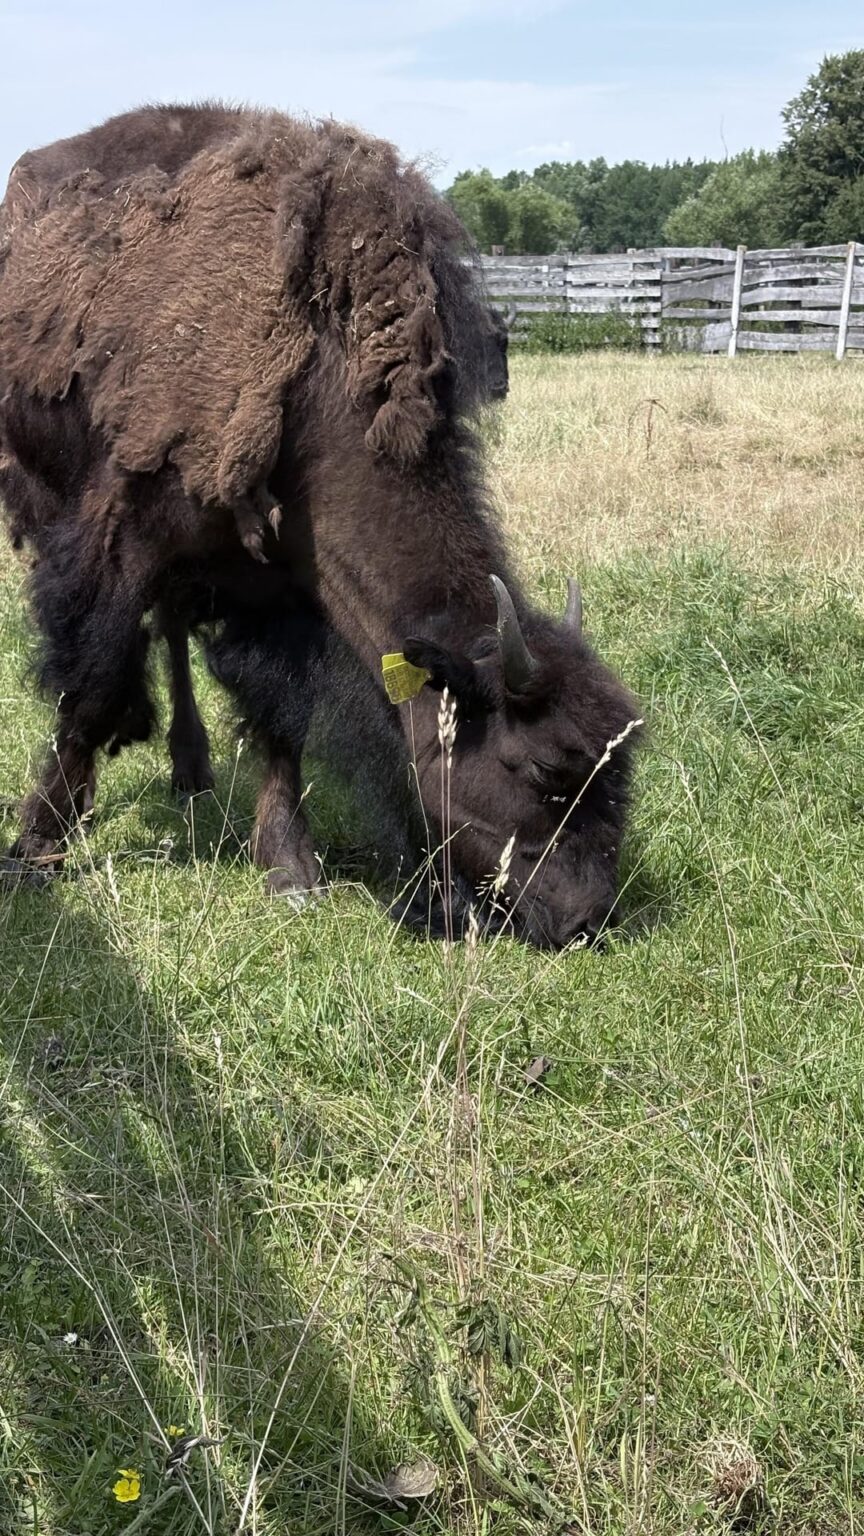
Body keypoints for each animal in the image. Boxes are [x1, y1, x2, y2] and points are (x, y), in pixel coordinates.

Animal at [0, 104, 640, 947]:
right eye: (540, 769)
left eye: (615, 776)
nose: (585, 917)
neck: (319, 375)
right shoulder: (123, 545)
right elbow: (93, 690)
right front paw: (36, 847)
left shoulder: (281, 588)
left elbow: (281, 722)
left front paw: (291, 870)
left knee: (173, 630)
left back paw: (192, 769)